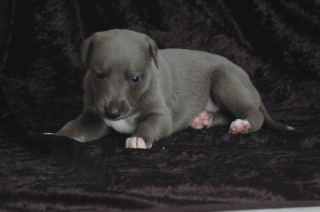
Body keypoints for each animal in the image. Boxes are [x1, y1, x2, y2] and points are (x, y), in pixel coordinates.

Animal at [54, 29, 292, 149]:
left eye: (135, 78)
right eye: (98, 75)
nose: (112, 113)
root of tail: (247, 78)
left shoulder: (161, 114)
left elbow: (152, 124)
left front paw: (139, 138)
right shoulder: (93, 114)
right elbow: (75, 128)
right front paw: (58, 136)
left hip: (225, 79)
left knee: (252, 113)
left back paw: (243, 124)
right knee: (225, 114)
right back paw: (203, 119)